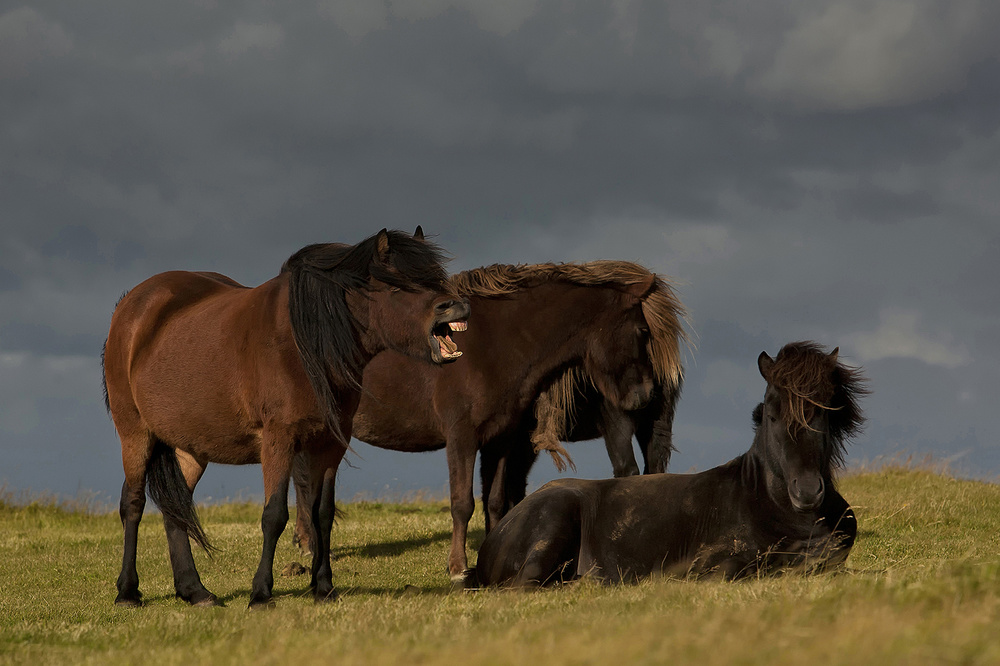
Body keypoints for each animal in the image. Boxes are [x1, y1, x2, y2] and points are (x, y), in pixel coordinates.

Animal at [101, 228, 468, 608]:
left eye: (435, 276)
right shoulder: (278, 441)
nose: (457, 307)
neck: (302, 346)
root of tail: (131, 306)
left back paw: (195, 591)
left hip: (190, 447)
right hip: (135, 433)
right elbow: (274, 514)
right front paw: (261, 593)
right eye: (397, 287)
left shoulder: (329, 445)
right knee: (133, 503)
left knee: (176, 510)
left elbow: (323, 514)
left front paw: (323, 587)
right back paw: (127, 592)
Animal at [292, 256, 692, 580]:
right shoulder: (462, 436)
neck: (493, 345)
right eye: (642, 331)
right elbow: (462, 503)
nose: (645, 395)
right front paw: (457, 567)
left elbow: (497, 501)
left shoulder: (502, 438)